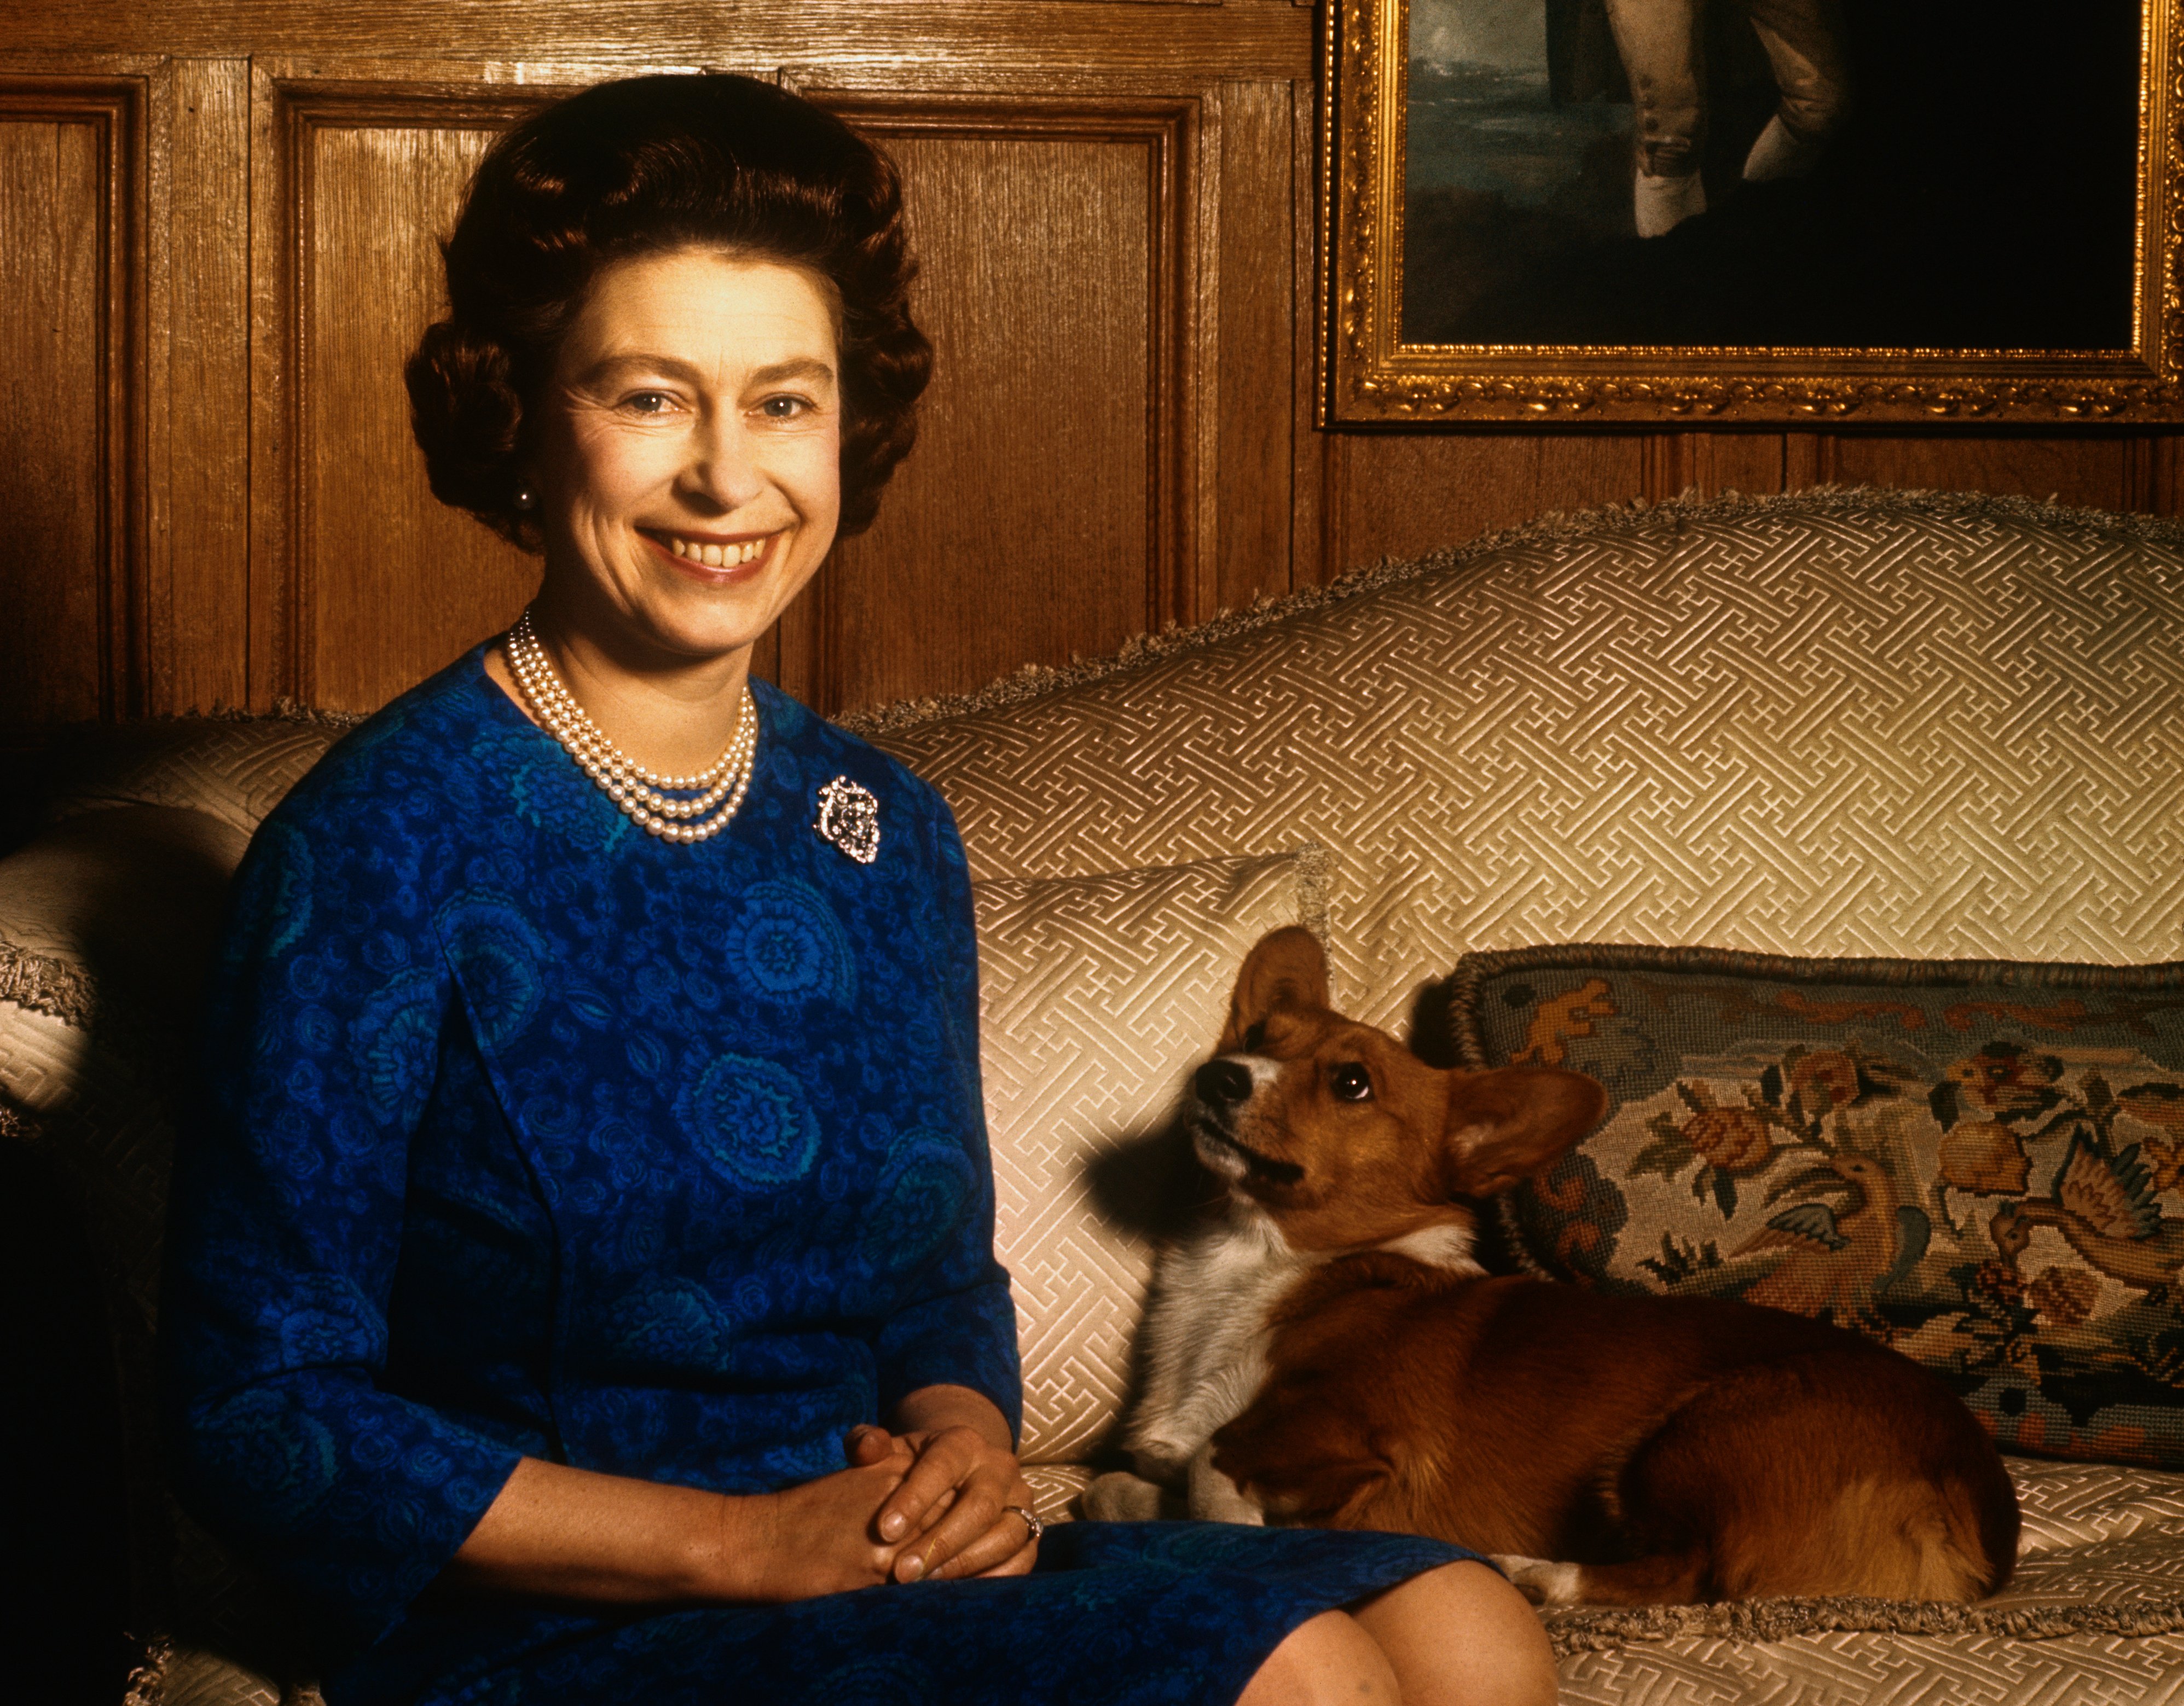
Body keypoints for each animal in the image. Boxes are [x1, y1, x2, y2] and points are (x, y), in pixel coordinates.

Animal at [1083, 926, 2018, 1608]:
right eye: (1254, 1036)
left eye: (1350, 1083)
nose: (1218, 1075)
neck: (1261, 1262)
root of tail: (1977, 1513)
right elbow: (1134, 1479)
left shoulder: (1357, 1438)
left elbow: (1214, 1463)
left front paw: (1239, 1521)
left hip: (1691, 1431)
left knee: (1691, 1573)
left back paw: (1534, 1572)